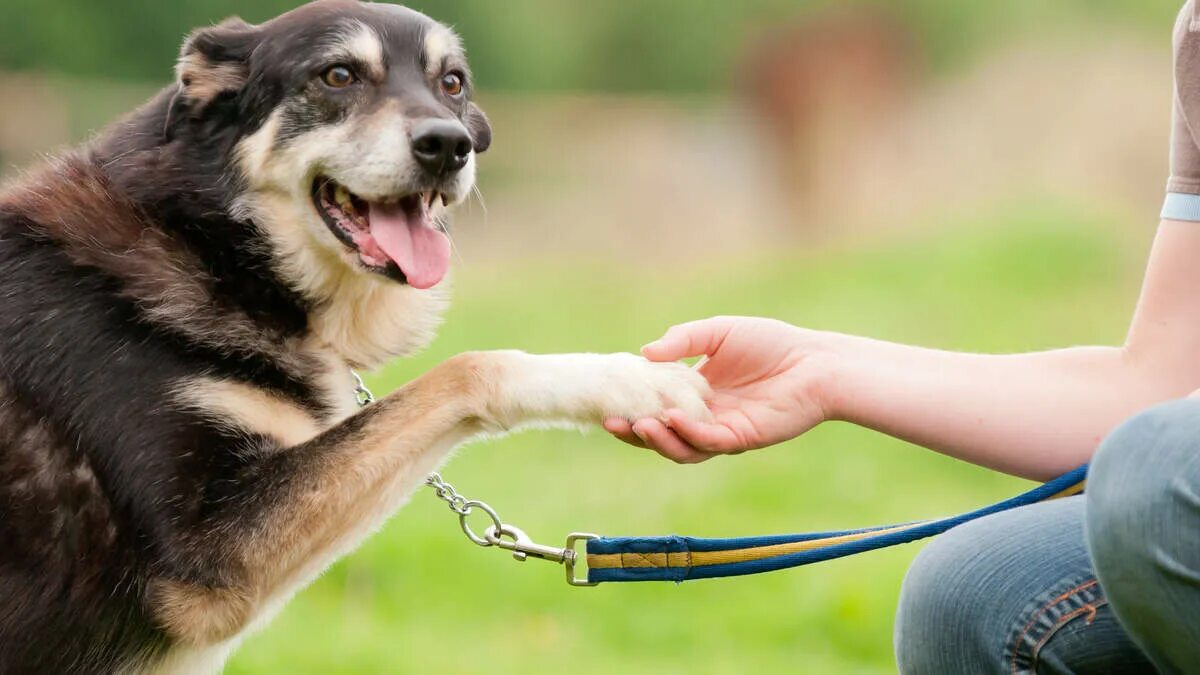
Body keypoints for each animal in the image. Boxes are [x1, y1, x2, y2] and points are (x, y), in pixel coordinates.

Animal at [0, 2, 710, 667]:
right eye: (338, 75)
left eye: (452, 83)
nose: (449, 144)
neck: (214, 248)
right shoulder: (209, 562)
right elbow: (467, 368)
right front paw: (635, 381)